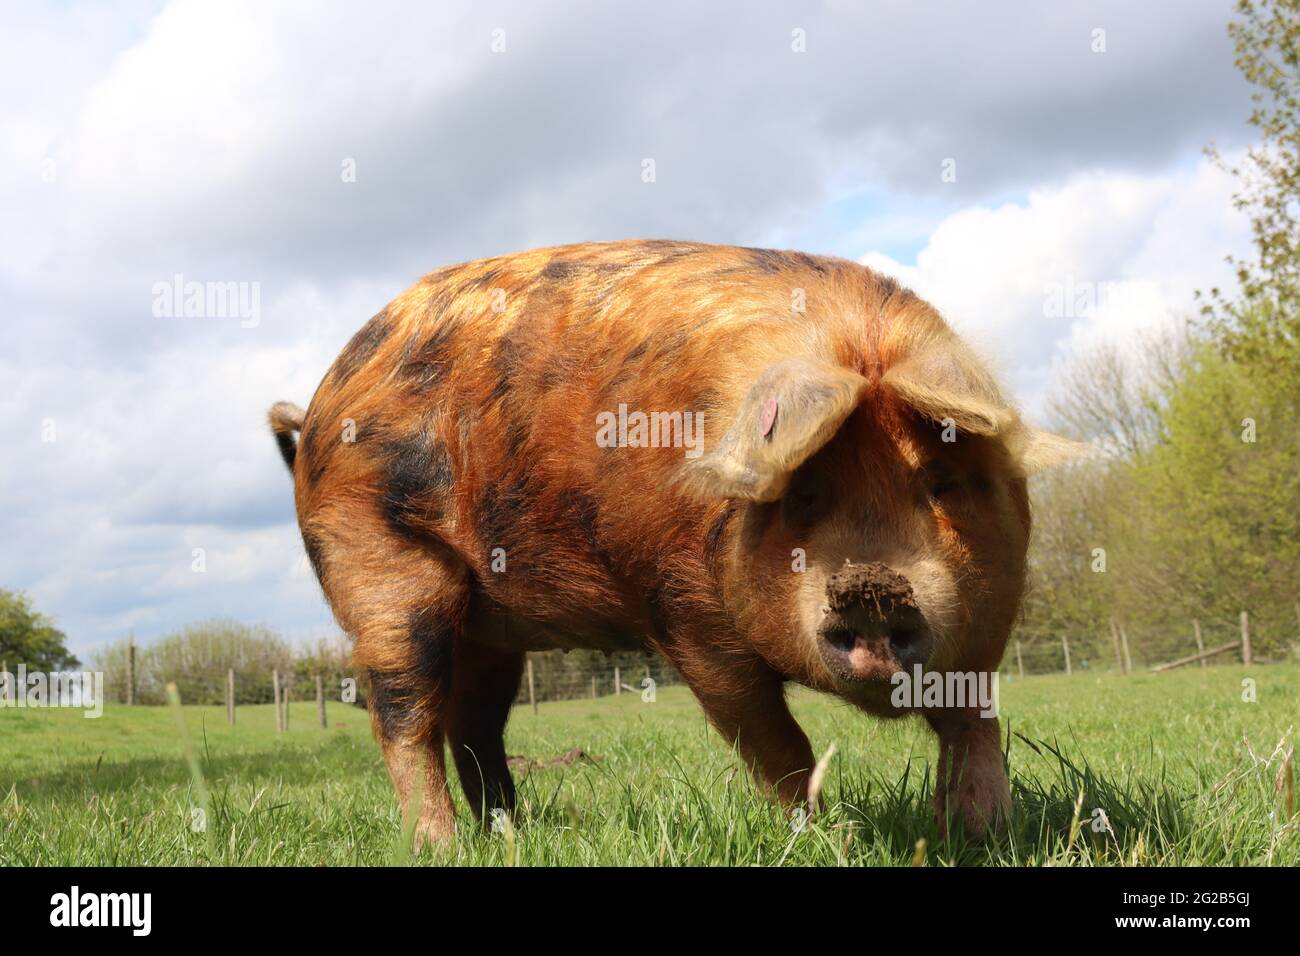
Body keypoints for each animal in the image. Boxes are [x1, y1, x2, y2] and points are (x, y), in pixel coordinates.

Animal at [266, 239, 1076, 842]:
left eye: (939, 483)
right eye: (804, 494)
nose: (871, 582)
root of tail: (319, 403)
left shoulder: (984, 628)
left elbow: (972, 725)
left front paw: (983, 832)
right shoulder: (684, 612)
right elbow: (775, 743)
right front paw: (825, 838)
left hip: (490, 626)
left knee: (474, 726)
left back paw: (513, 834)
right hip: (381, 572)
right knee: (404, 717)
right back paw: (444, 846)